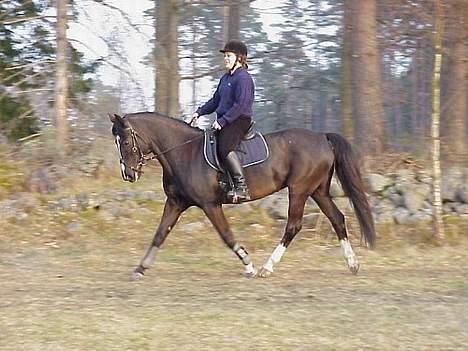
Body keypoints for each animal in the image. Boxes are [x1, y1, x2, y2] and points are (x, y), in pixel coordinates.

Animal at [109, 111, 376, 280]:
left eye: (125, 142)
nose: (128, 174)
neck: (184, 152)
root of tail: (322, 136)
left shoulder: (209, 204)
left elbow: (227, 235)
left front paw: (248, 265)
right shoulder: (176, 202)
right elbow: (160, 234)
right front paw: (140, 268)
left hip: (299, 190)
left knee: (293, 225)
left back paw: (267, 268)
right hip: (317, 190)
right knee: (337, 218)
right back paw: (353, 263)